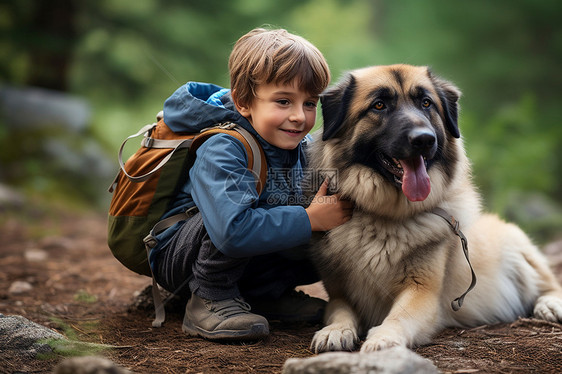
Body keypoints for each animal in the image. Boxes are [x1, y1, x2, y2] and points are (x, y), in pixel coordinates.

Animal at [308, 65, 560, 354]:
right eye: (379, 105)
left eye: (426, 103)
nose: (424, 140)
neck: (387, 215)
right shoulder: (338, 292)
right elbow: (339, 310)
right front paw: (335, 331)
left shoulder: (422, 292)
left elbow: (398, 316)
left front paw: (384, 339)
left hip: (519, 252)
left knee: (549, 284)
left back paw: (550, 305)